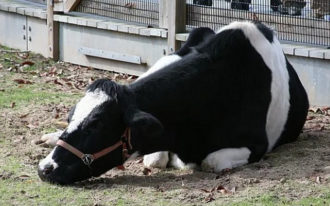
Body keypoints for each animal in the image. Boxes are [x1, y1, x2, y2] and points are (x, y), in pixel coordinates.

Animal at [38, 21, 310, 185]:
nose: (45, 168)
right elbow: (154, 159)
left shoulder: (257, 145)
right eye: (70, 117)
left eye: (96, 124)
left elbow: (211, 162)